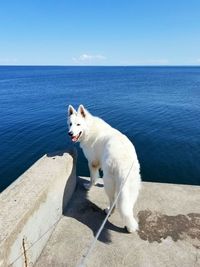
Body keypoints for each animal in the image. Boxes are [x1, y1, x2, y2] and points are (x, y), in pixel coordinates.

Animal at [67, 104, 141, 232]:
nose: (70, 133)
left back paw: (108, 211)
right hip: (131, 187)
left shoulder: (92, 162)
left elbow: (93, 178)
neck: (90, 129)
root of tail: (124, 164)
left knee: (113, 201)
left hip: (111, 184)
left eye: (78, 124)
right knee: (127, 206)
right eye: (70, 124)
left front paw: (89, 186)